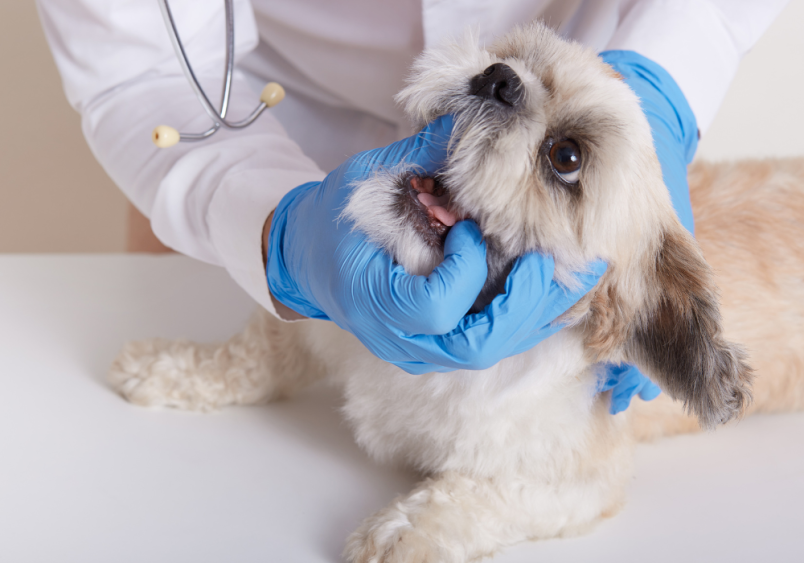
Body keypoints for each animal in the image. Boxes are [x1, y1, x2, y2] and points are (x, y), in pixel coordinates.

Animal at [108, 22, 804, 563]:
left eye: (567, 158)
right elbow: (247, 356)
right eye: (514, 57)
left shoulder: (575, 481)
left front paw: (400, 530)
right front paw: (171, 366)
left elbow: (474, 494)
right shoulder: (316, 315)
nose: (499, 79)